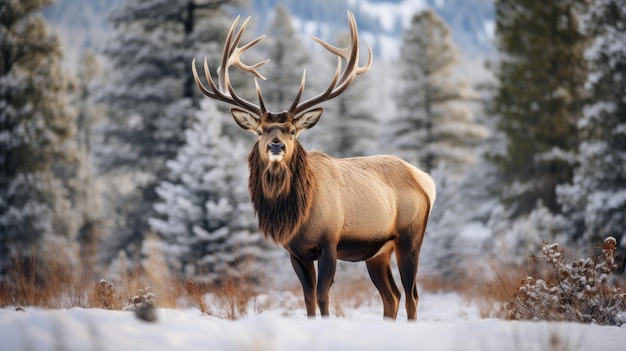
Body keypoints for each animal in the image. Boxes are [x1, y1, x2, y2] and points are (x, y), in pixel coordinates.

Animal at [190, 11, 434, 322]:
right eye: (260, 131)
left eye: (293, 131)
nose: (276, 146)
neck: (298, 216)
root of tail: (425, 180)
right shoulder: (296, 252)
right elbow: (307, 298)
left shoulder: (329, 241)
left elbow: (322, 295)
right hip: (377, 252)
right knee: (392, 296)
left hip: (410, 236)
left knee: (412, 294)